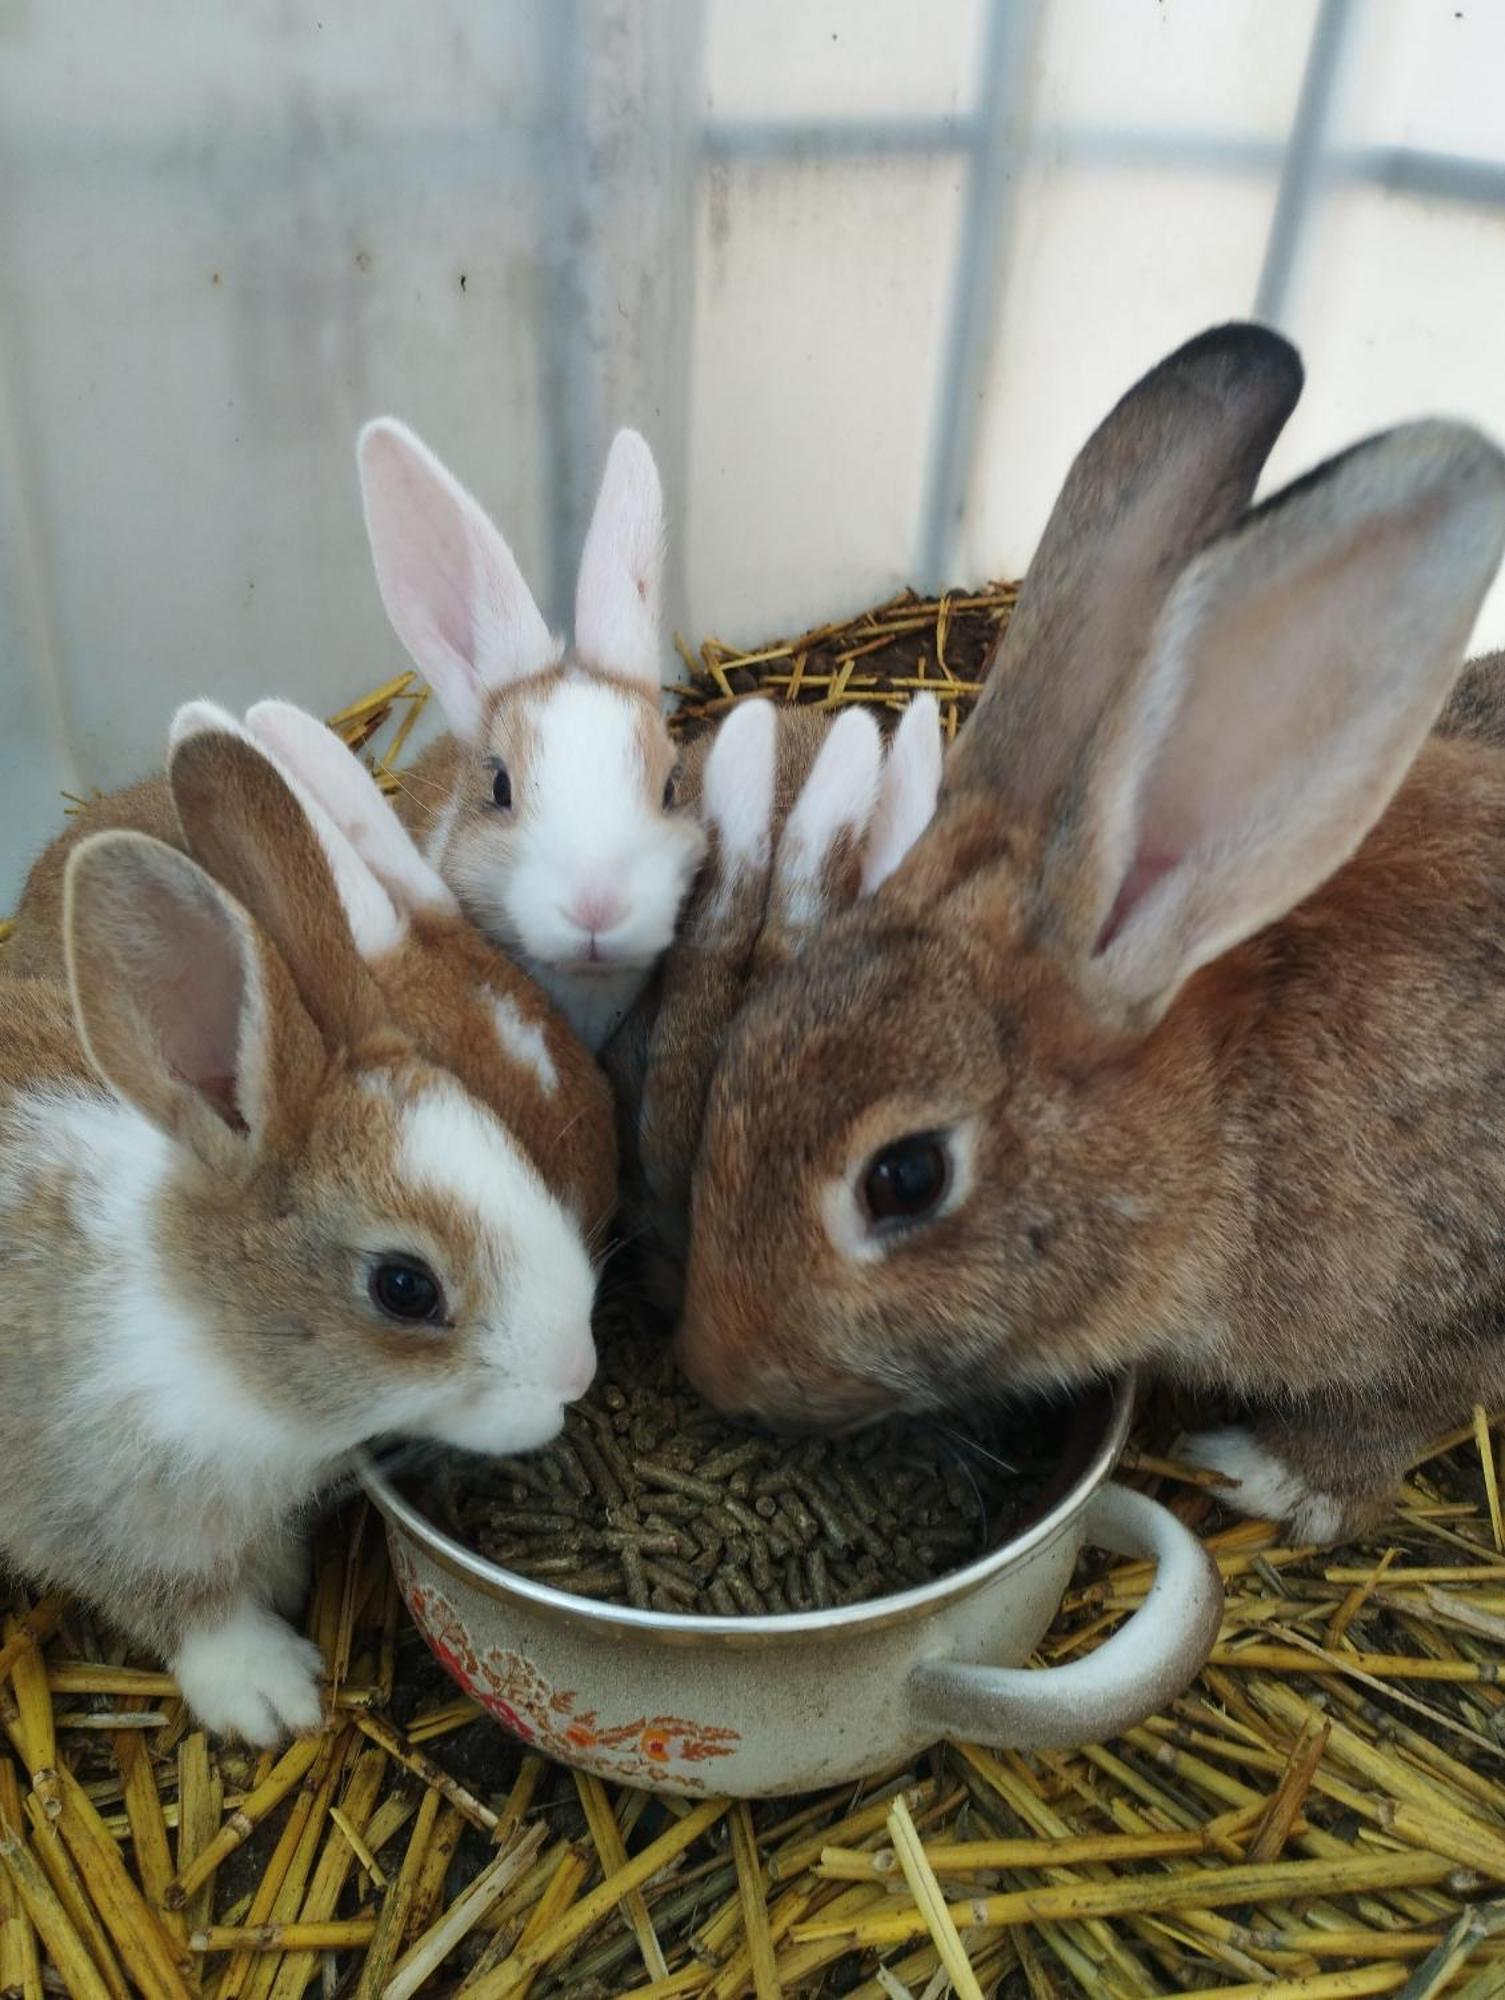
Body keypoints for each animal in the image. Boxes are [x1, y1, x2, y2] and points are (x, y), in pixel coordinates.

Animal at [0, 728, 600, 1744]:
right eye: (404, 1288)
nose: (577, 1375)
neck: (210, 1340)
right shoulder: (89, 1511)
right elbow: (186, 1605)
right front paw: (272, 1694)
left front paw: (283, 1579)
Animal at [676, 324, 1505, 1544]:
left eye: (905, 1179)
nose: (712, 1366)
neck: (1218, 1125)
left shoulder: (1450, 1307)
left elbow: (1397, 1416)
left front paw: (1269, 1476)